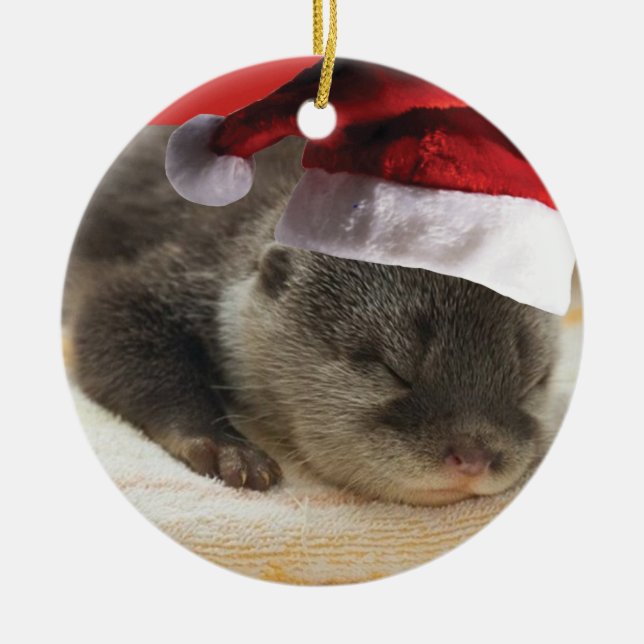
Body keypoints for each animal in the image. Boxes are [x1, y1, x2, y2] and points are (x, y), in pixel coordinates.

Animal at [63, 125, 564, 506]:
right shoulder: (184, 264)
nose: (474, 457)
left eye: (530, 383)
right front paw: (226, 447)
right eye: (391, 370)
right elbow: (107, 319)